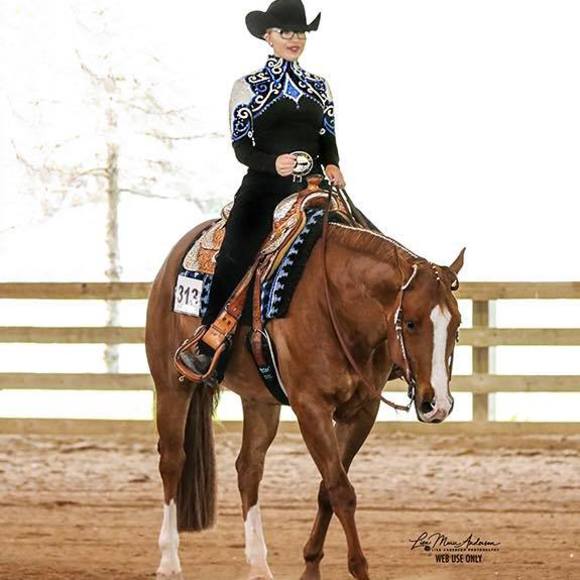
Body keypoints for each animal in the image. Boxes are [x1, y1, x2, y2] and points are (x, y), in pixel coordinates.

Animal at [145, 185, 464, 580]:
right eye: (412, 322)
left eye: (457, 323)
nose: (438, 404)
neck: (335, 304)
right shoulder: (311, 408)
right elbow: (341, 489)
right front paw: (357, 567)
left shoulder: (361, 411)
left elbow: (327, 488)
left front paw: (311, 565)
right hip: (171, 384)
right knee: (173, 460)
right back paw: (169, 561)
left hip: (260, 400)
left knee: (248, 468)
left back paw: (259, 565)